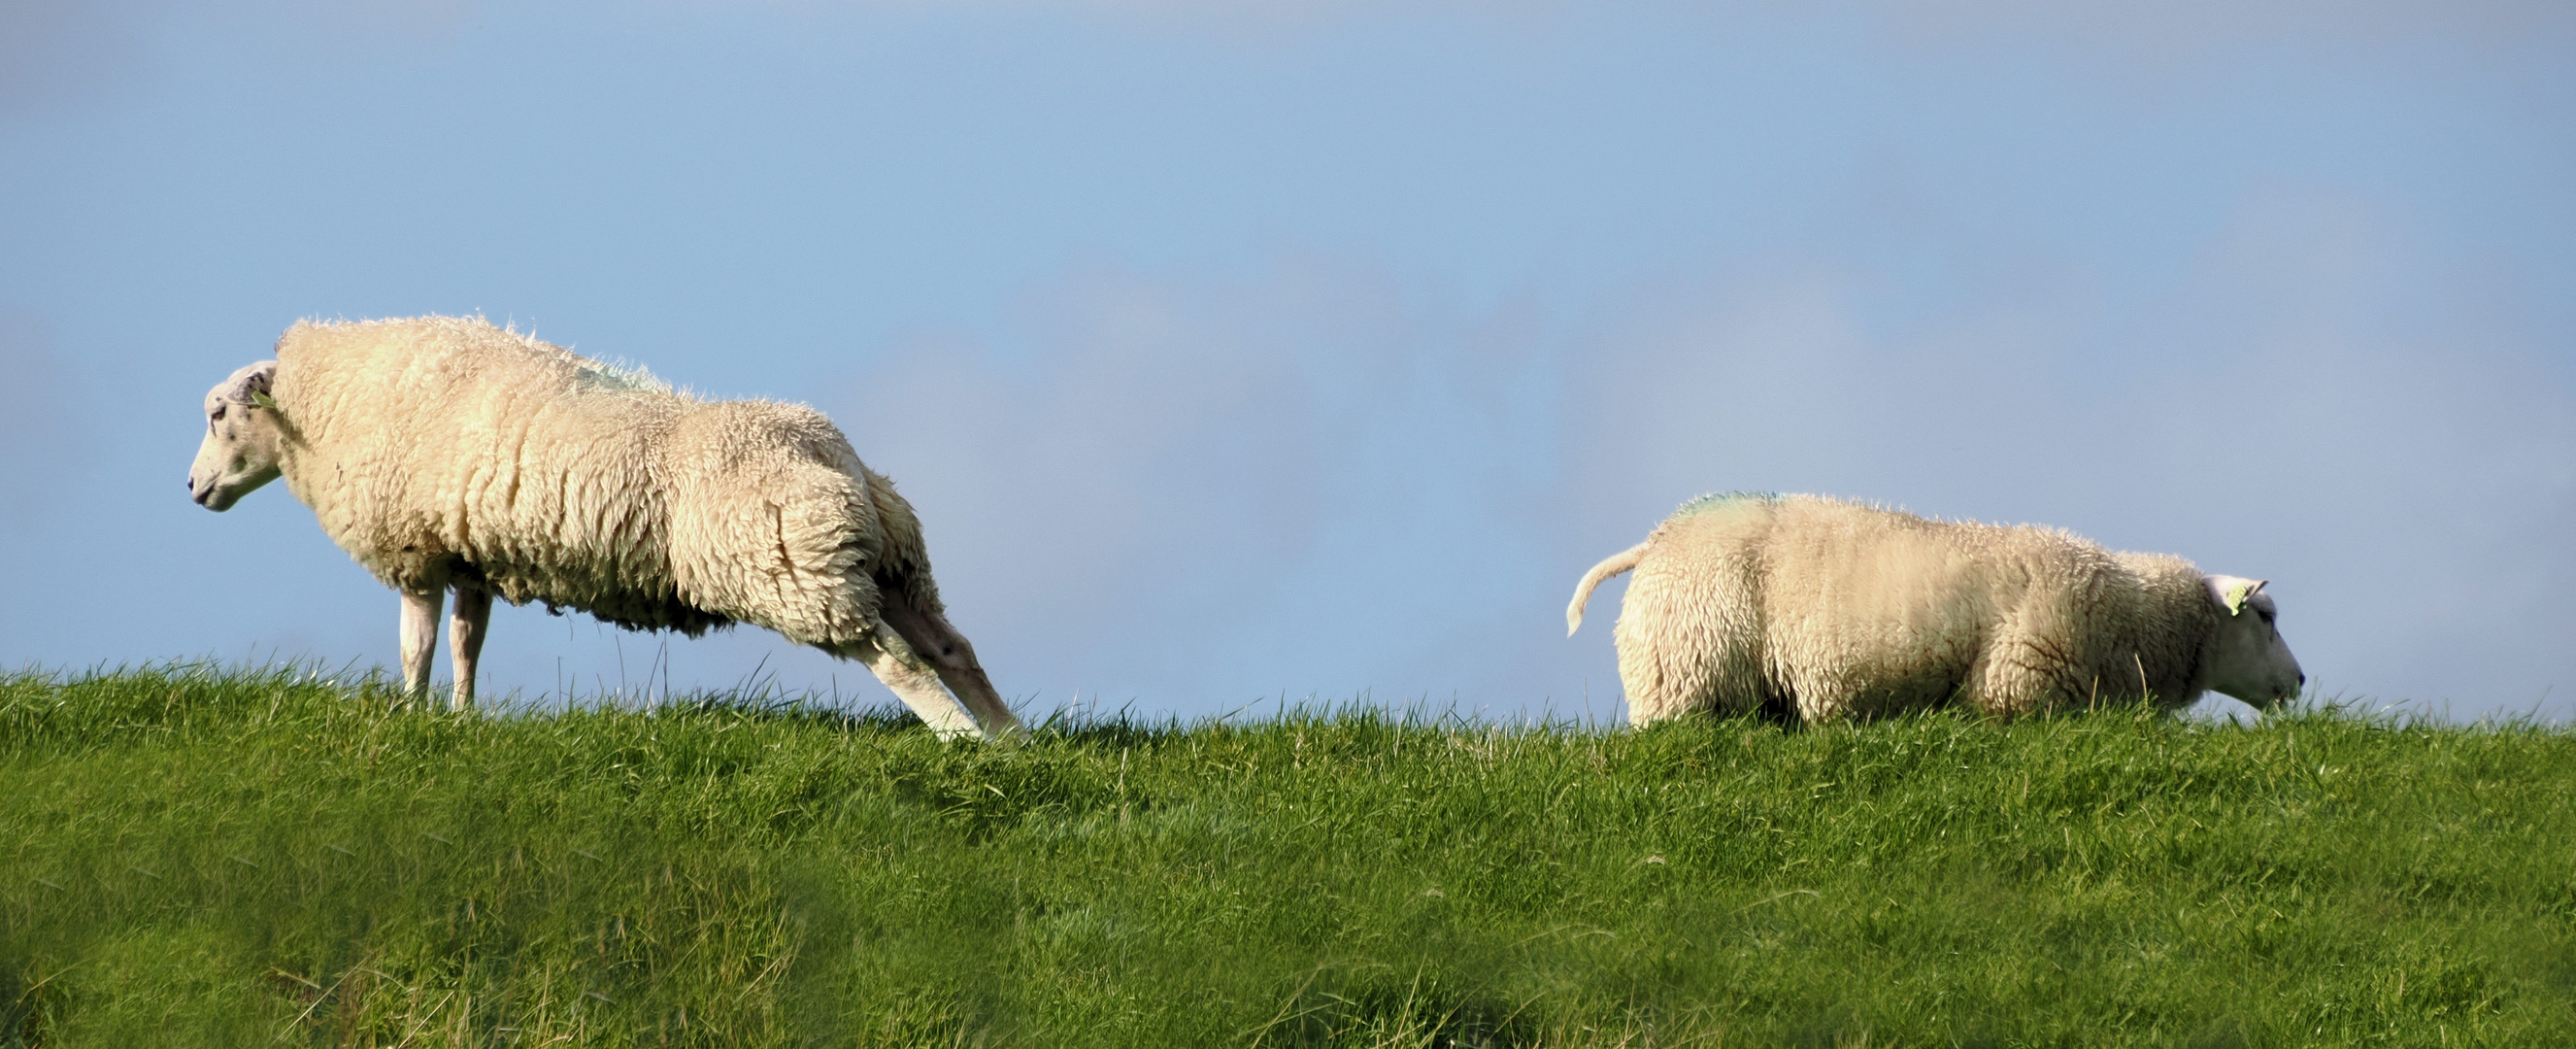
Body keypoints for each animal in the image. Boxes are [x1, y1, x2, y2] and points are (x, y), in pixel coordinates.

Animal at [184, 312, 1015, 736]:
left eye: (219, 413)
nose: (191, 488)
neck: (330, 399)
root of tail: (828, 448)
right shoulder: (470, 556)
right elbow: (465, 643)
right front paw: (460, 719)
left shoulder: (413, 549)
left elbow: (415, 644)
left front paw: (411, 717)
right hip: (887, 563)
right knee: (952, 648)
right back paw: (1008, 741)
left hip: (792, 569)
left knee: (899, 664)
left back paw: (959, 741)